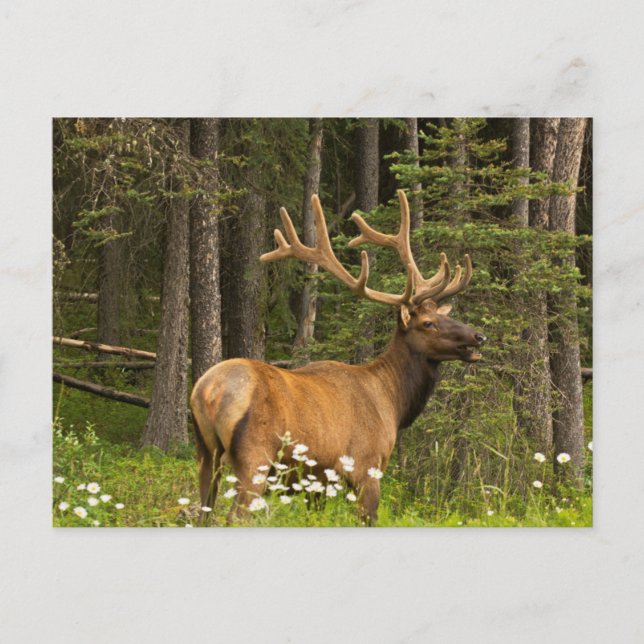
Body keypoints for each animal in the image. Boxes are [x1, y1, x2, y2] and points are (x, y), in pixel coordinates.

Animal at [190, 190, 486, 524]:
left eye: (443, 316)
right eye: (427, 323)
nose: (478, 337)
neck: (393, 402)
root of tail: (208, 392)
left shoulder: (317, 481)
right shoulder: (367, 466)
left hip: (206, 454)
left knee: (203, 512)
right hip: (255, 457)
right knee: (236, 516)